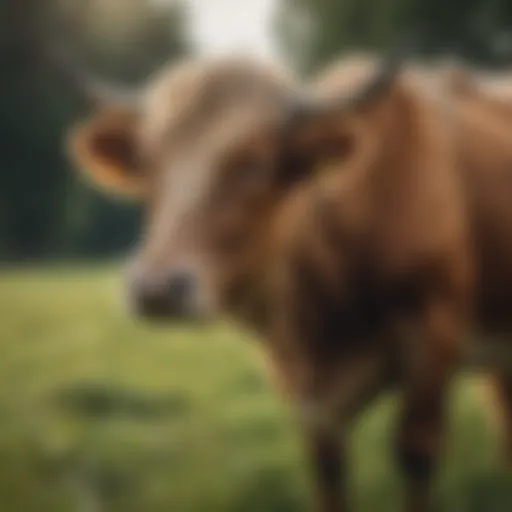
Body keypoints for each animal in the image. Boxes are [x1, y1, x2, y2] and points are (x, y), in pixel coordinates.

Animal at [65, 53, 512, 512]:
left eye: (256, 163)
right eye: (147, 164)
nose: (157, 289)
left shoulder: (433, 335)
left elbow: (415, 453)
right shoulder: (305, 389)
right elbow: (327, 471)